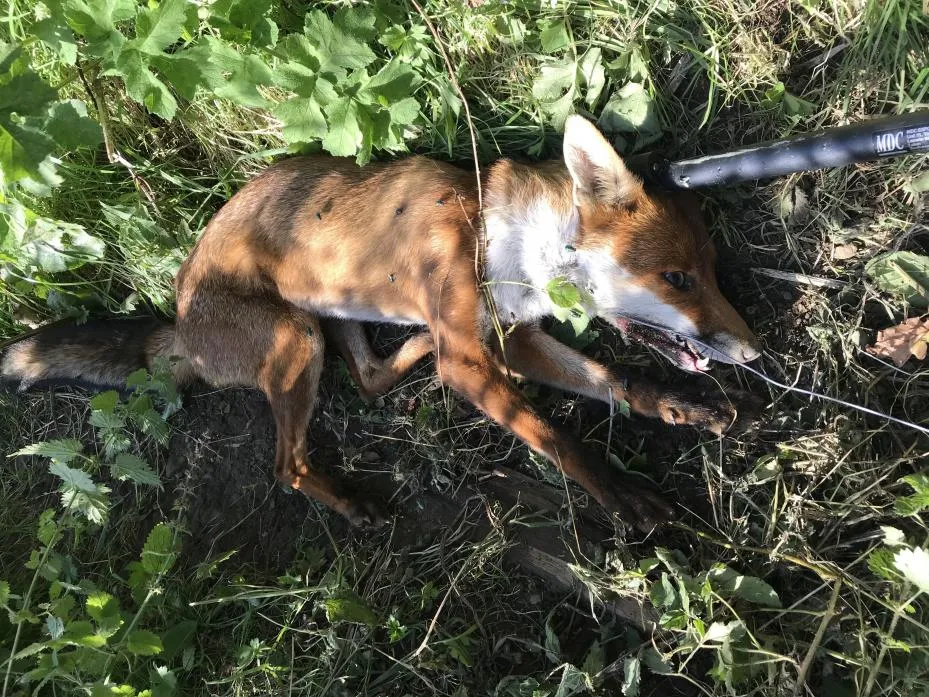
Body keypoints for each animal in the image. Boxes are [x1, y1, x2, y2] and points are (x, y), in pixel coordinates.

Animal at [3, 117, 760, 532]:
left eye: (711, 272)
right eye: (679, 278)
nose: (751, 352)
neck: (500, 236)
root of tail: (179, 323)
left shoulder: (512, 338)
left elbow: (614, 380)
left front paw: (681, 406)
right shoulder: (473, 360)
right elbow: (558, 439)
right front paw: (621, 496)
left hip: (331, 320)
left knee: (367, 379)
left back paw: (413, 342)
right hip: (296, 339)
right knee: (288, 465)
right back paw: (350, 502)